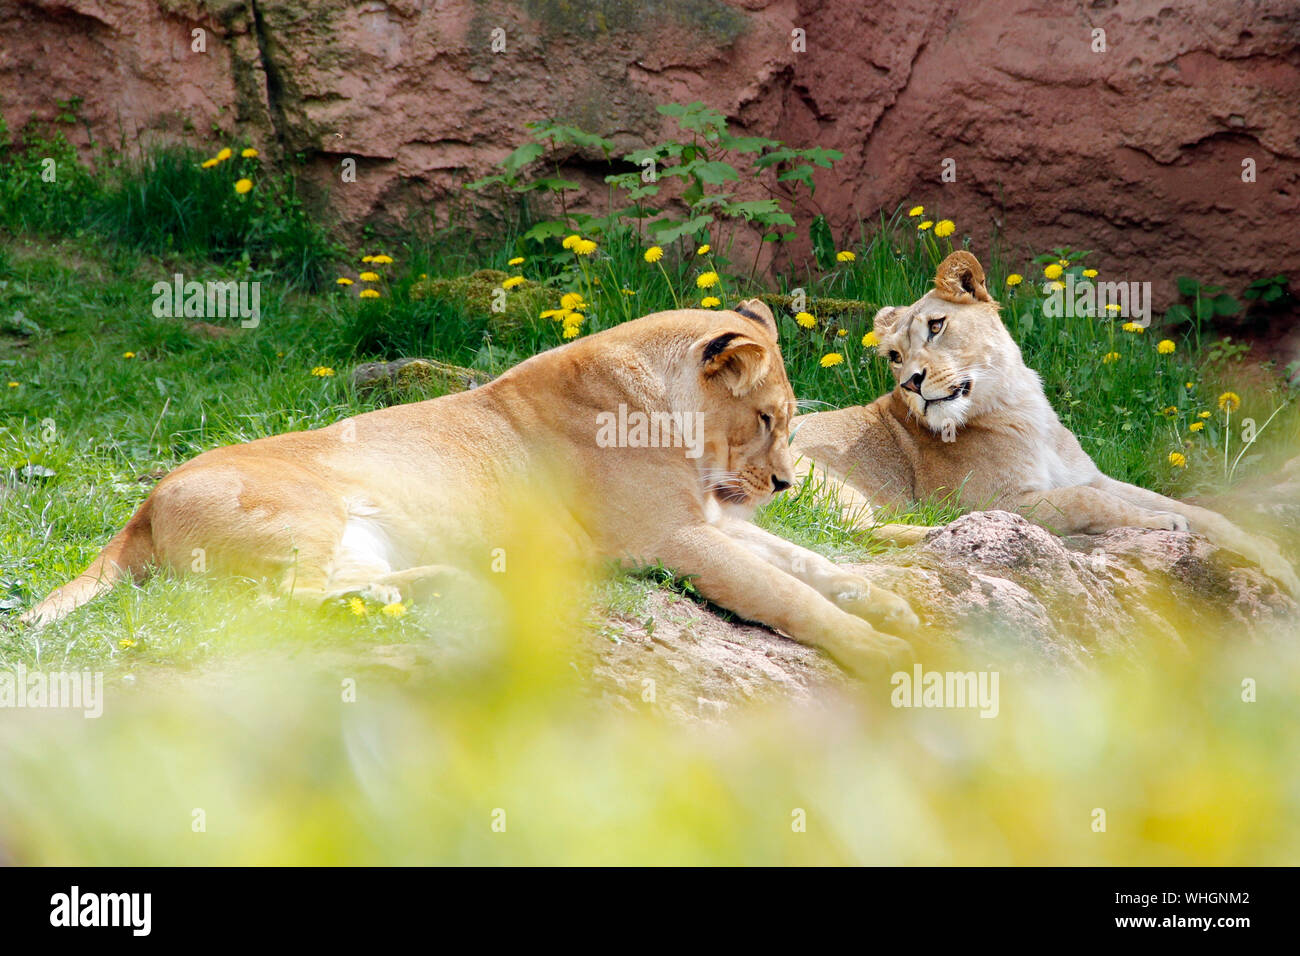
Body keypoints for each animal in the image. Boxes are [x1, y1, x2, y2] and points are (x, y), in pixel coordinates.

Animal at [22, 303, 915, 676]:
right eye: (767, 419)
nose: (785, 482)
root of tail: (142, 504)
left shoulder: (707, 519)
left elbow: (809, 562)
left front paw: (895, 606)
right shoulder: (670, 536)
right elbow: (784, 591)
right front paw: (880, 651)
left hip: (356, 536)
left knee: (338, 591)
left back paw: (439, 586)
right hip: (307, 513)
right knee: (281, 605)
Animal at [785, 251, 1300, 595]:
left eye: (936, 326)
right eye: (894, 356)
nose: (911, 381)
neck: (1018, 406)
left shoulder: (1088, 473)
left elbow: (1202, 512)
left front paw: (1272, 558)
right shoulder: (1005, 497)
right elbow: (1091, 501)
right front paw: (1162, 523)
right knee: (844, 531)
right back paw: (947, 529)